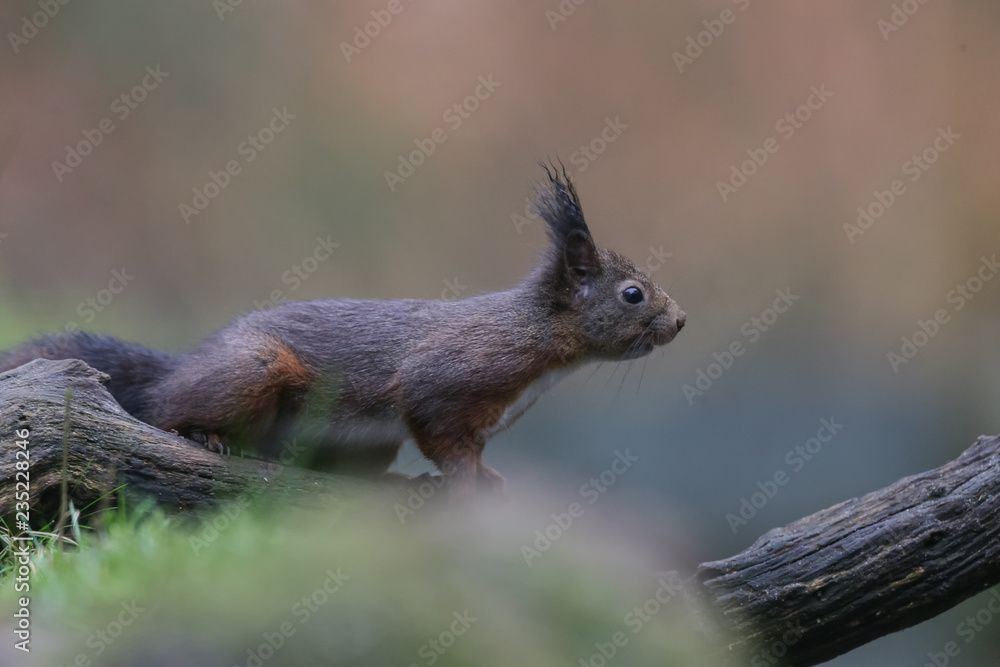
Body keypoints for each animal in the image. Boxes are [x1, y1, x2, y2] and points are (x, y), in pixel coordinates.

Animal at [0, 166, 685, 498]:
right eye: (632, 294)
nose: (680, 321)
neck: (539, 344)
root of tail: (185, 362)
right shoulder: (448, 376)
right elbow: (445, 437)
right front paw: (472, 482)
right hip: (250, 371)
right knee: (164, 409)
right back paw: (202, 434)